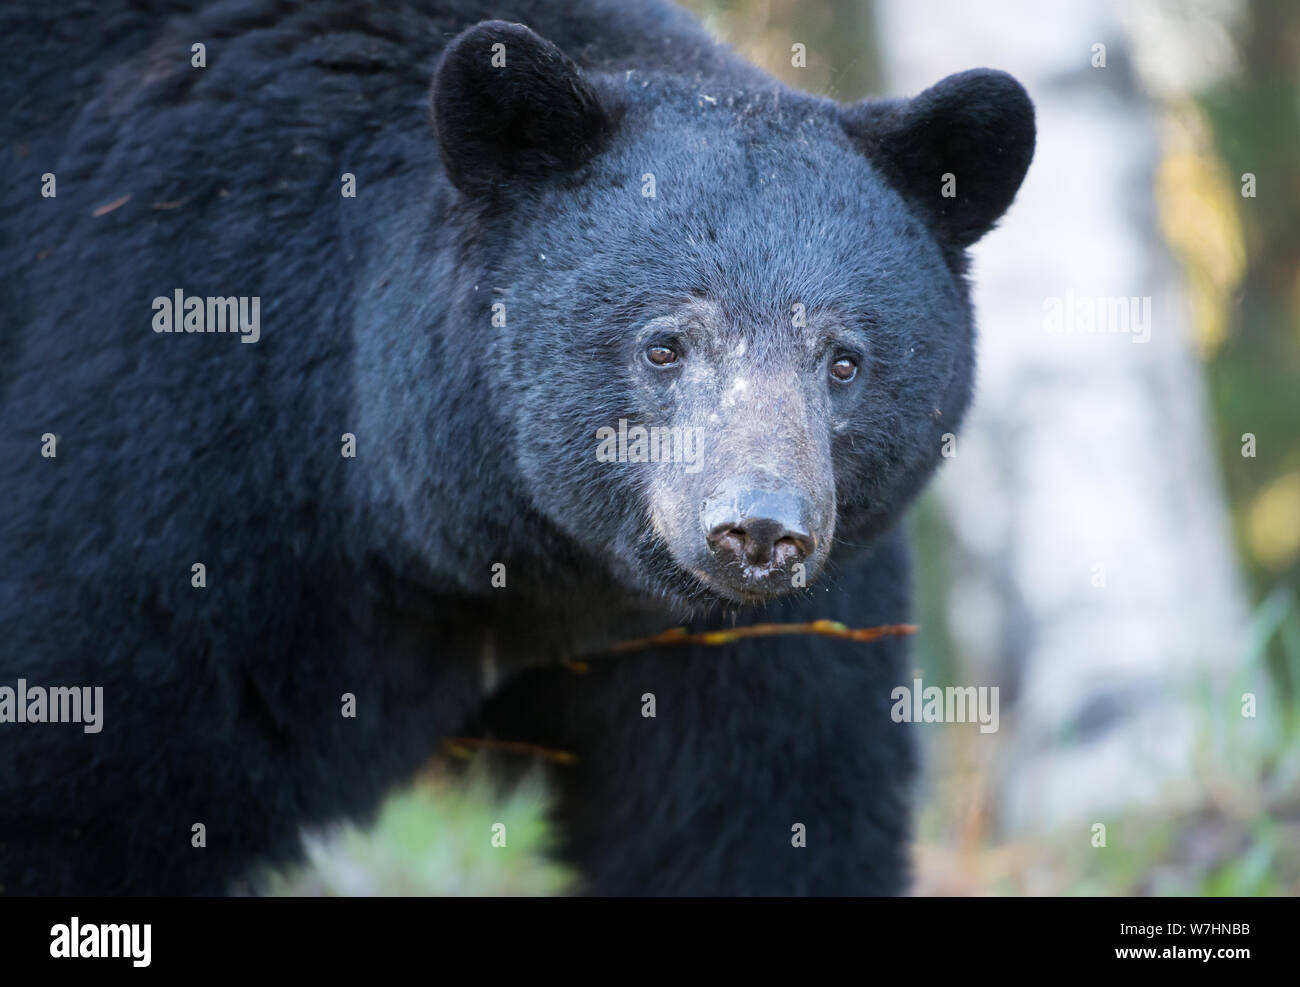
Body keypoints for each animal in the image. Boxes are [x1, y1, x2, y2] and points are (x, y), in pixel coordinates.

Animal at [0, 0, 1034, 895]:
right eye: (664, 344)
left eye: (845, 360)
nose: (759, 530)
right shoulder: (185, 480)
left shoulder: (784, 625)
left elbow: (763, 813)